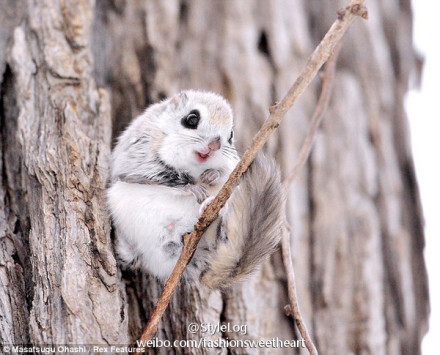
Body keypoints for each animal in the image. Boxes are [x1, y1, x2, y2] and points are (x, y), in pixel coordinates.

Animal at [108, 89, 284, 290]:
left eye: (231, 135)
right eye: (191, 119)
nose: (214, 145)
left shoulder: (232, 165)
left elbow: (226, 173)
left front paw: (212, 175)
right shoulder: (139, 155)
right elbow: (160, 174)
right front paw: (193, 187)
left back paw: (211, 208)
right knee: (131, 256)